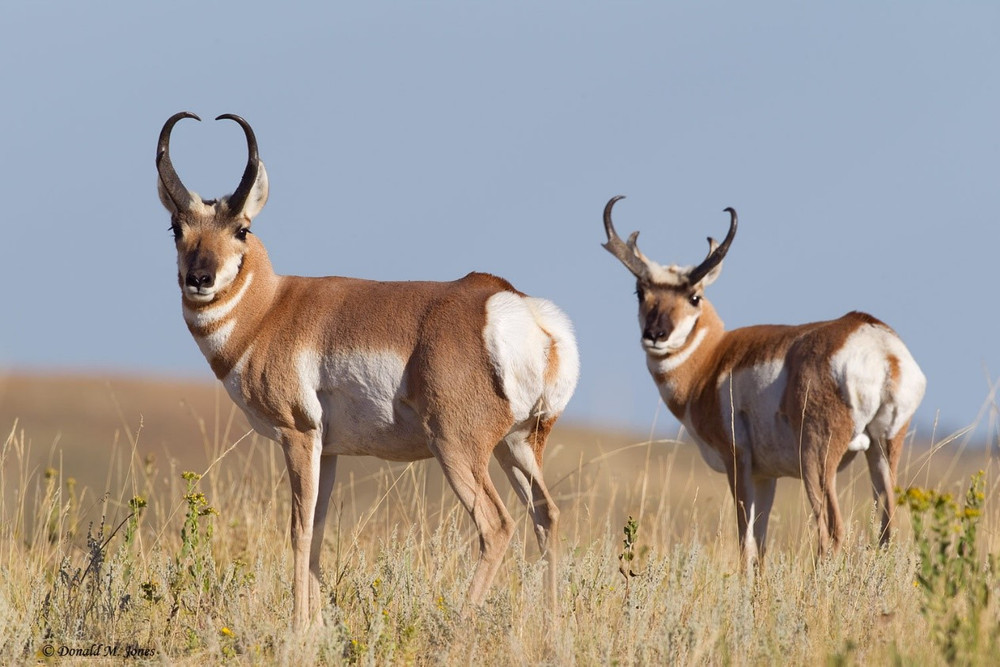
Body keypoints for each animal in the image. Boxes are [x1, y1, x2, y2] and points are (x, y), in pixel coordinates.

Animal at [155, 112, 580, 628]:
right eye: (176, 227)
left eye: (241, 228)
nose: (199, 279)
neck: (271, 309)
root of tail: (513, 307)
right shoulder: (330, 450)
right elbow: (318, 532)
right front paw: (319, 628)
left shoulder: (298, 436)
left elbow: (298, 530)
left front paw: (297, 628)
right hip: (516, 445)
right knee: (546, 515)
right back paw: (552, 626)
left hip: (457, 448)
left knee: (497, 526)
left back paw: (457, 625)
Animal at [596, 197, 924, 568]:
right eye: (640, 292)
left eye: (695, 297)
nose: (655, 335)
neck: (713, 358)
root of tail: (879, 345)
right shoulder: (766, 476)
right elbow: (761, 545)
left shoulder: (738, 464)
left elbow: (746, 541)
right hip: (884, 449)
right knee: (887, 528)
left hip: (816, 459)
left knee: (831, 529)